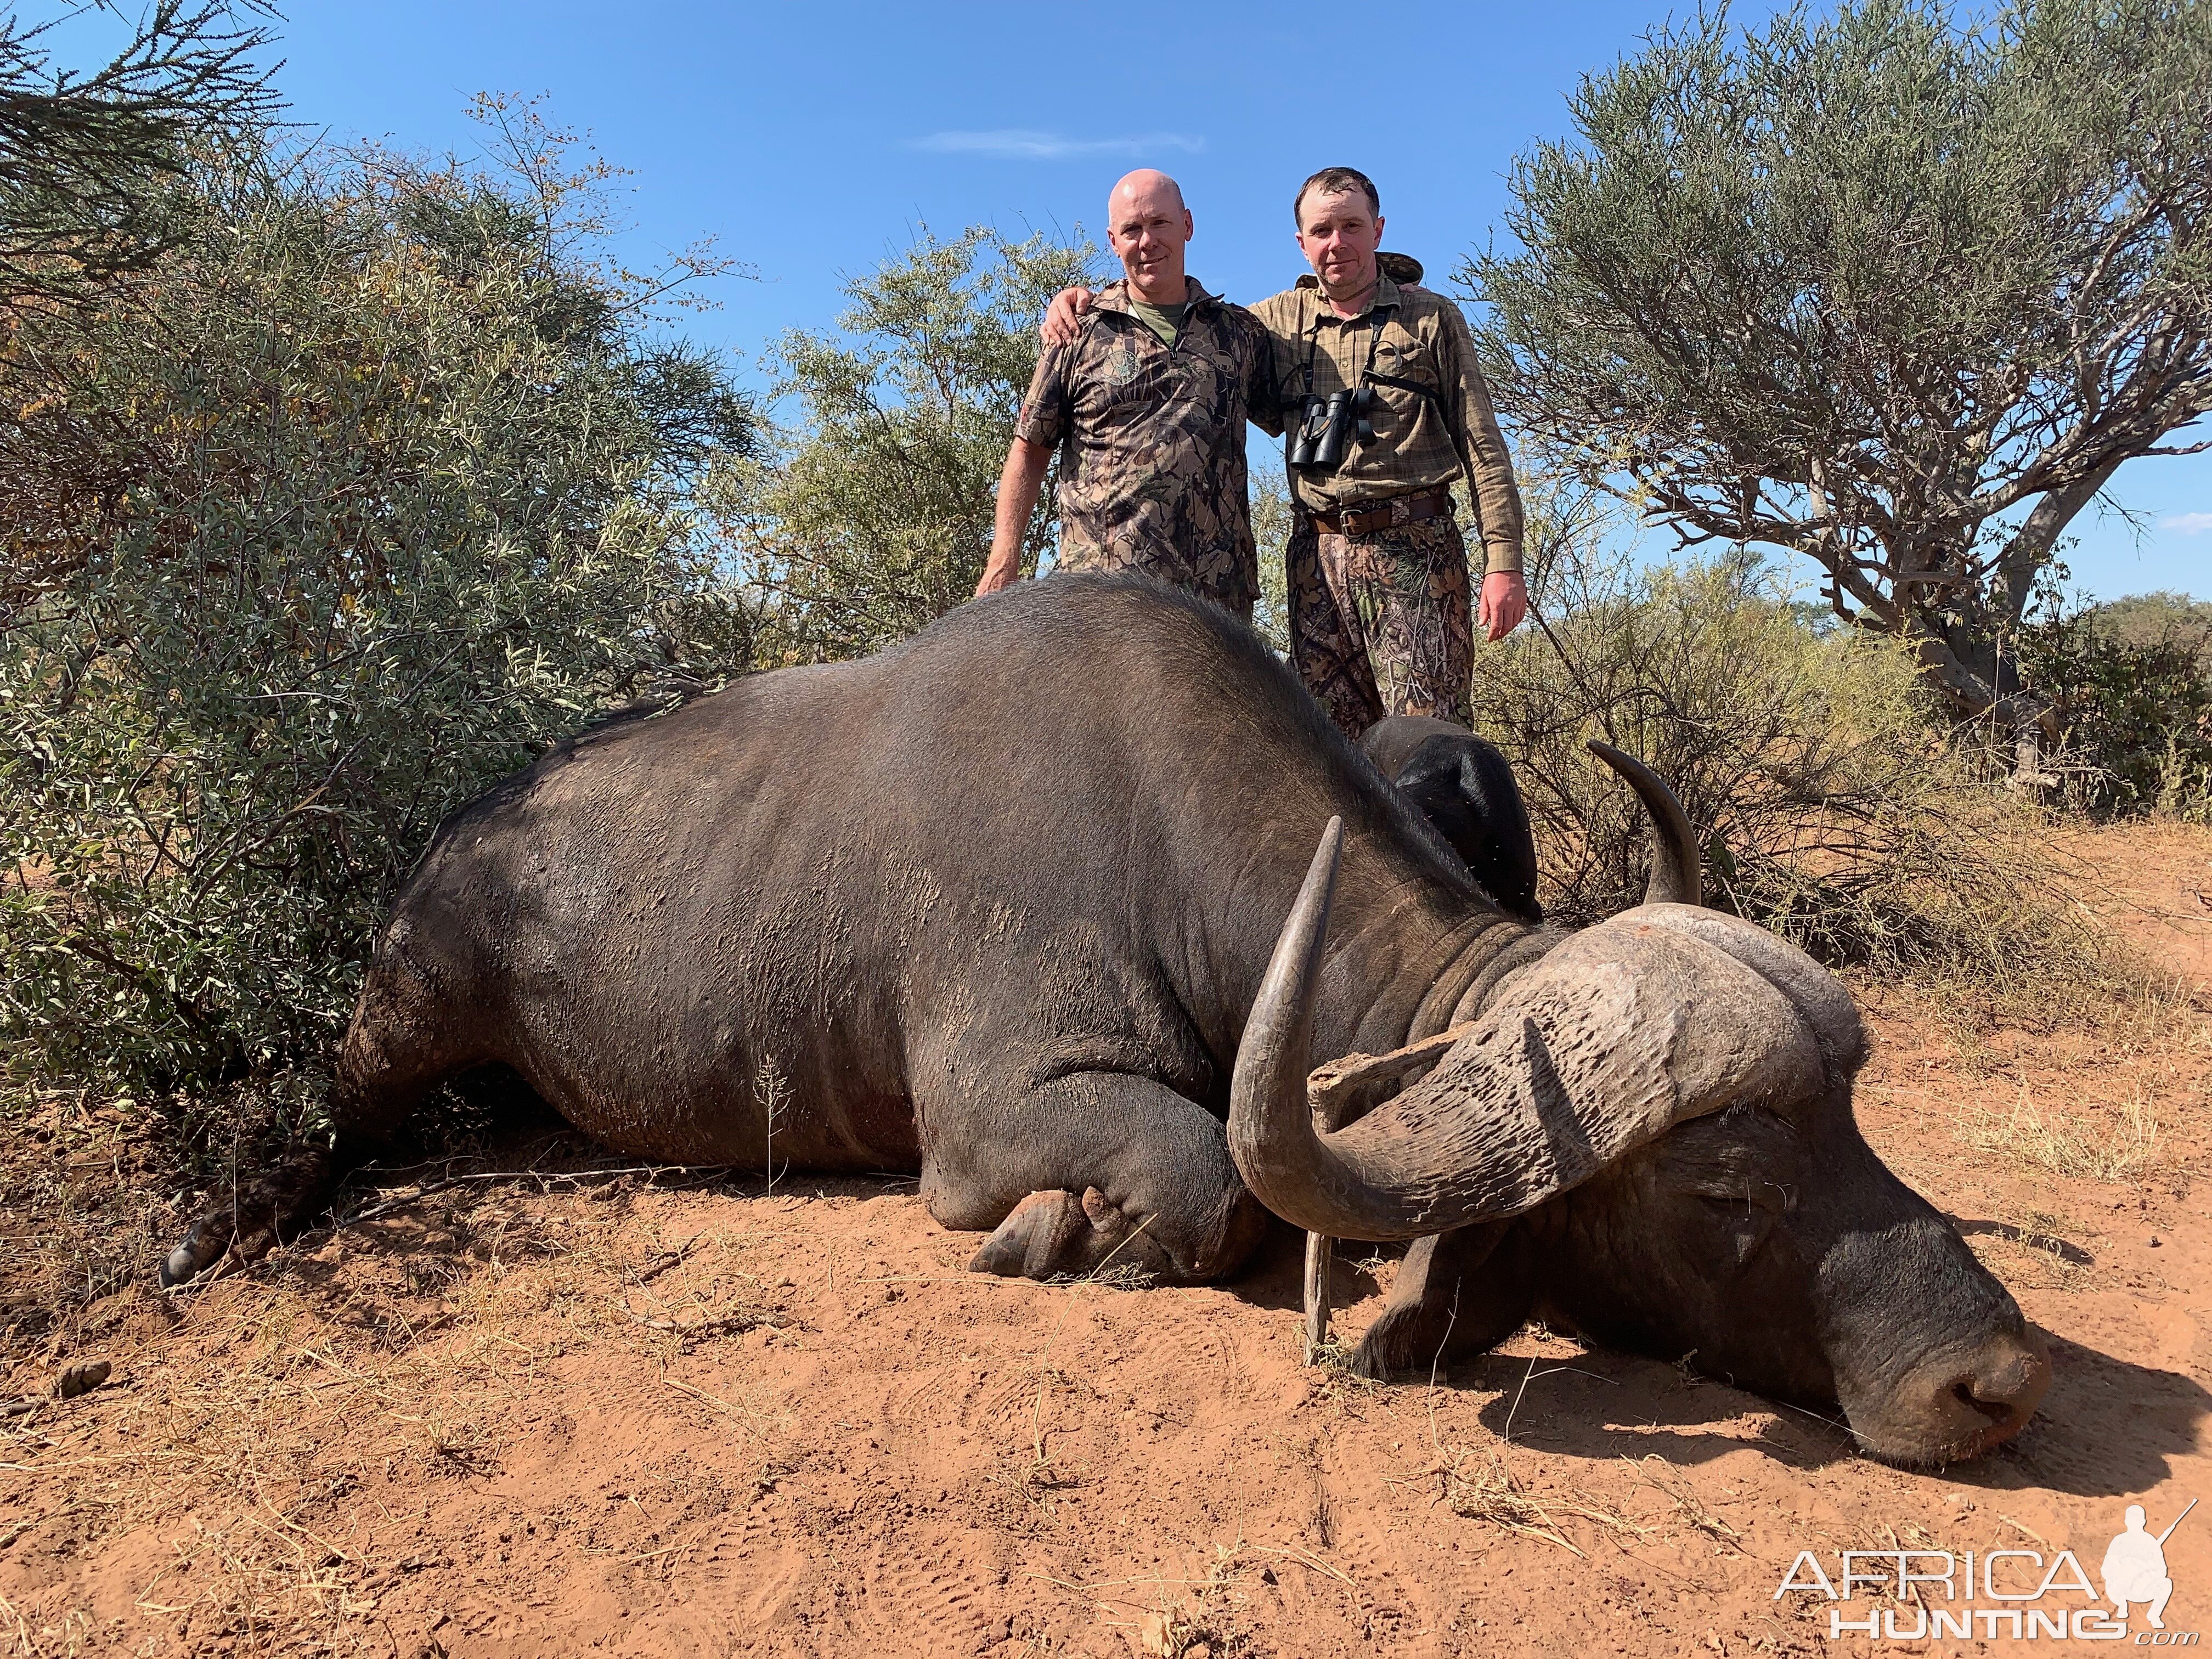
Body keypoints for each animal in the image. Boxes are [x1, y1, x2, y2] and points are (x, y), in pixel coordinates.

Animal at [163, 575, 2044, 1469]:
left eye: (1860, 1131)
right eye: (1723, 1194)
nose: (1996, 1379)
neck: (1165, 829)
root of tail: (468, 829)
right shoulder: (994, 1120)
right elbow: (1204, 1183)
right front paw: (1059, 1238)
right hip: (399, 1015)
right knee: (325, 1109)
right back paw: (210, 1226)